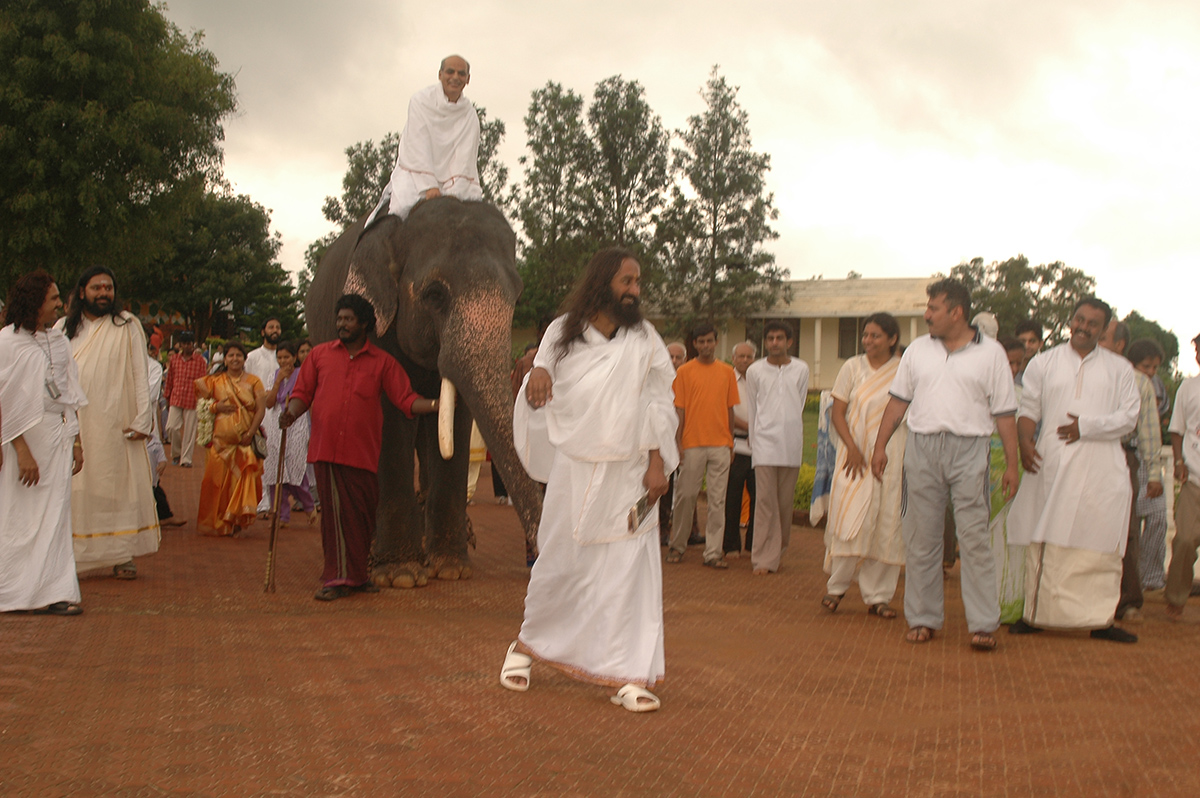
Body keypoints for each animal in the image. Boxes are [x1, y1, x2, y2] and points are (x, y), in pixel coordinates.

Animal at [304, 198, 540, 585]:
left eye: (518, 294)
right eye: (434, 294)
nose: (536, 556)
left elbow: (455, 421)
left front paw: (450, 569)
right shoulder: (378, 323)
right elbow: (388, 419)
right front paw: (399, 575)